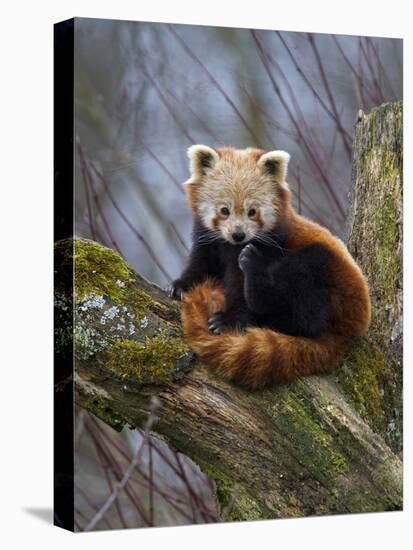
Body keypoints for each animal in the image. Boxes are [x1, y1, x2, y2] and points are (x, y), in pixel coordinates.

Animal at [168, 147, 370, 388]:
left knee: (305, 306)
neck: (232, 247)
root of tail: (350, 330)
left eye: (252, 211)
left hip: (330, 277)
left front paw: (228, 319)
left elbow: (239, 287)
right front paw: (181, 285)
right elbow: (200, 264)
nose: (238, 235)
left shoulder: (271, 245)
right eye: (224, 210)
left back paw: (255, 277)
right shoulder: (207, 240)